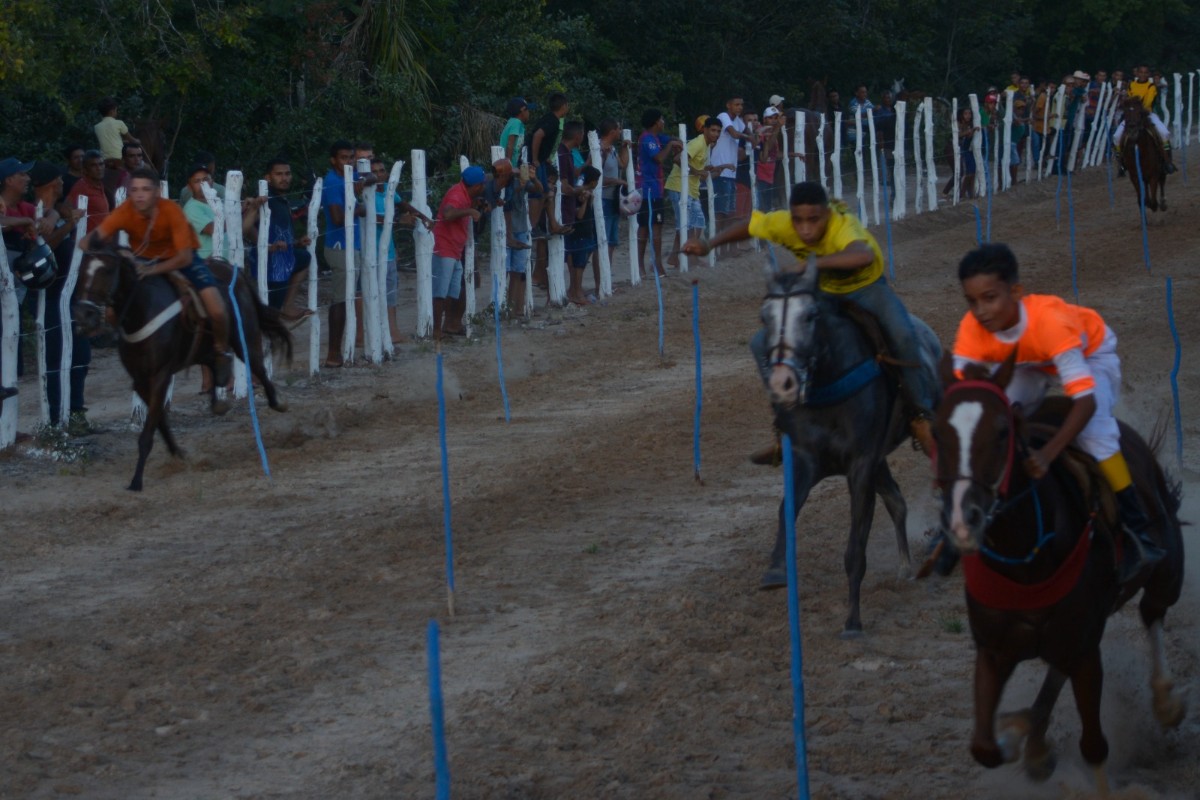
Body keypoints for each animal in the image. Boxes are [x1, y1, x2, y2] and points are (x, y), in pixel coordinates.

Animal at [73, 247, 294, 491]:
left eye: (107, 270)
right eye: (81, 271)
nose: (84, 315)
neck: (141, 310)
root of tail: (231, 269)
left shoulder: (160, 376)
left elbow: (148, 431)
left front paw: (136, 480)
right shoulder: (140, 379)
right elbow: (159, 420)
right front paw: (178, 453)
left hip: (245, 335)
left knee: (259, 366)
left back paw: (277, 401)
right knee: (216, 362)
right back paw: (218, 398)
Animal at [753, 266, 940, 633]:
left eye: (810, 315)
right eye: (765, 316)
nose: (784, 382)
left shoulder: (861, 465)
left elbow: (856, 546)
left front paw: (853, 619)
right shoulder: (805, 460)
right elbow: (785, 511)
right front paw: (775, 571)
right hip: (881, 459)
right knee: (897, 501)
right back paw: (905, 567)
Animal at [931, 357, 1185, 786]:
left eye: (1002, 432)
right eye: (937, 431)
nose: (964, 519)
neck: (1026, 561)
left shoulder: (1083, 648)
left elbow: (1094, 746)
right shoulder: (995, 648)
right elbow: (984, 748)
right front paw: (1019, 741)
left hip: (1167, 572)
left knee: (1153, 613)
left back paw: (1166, 701)